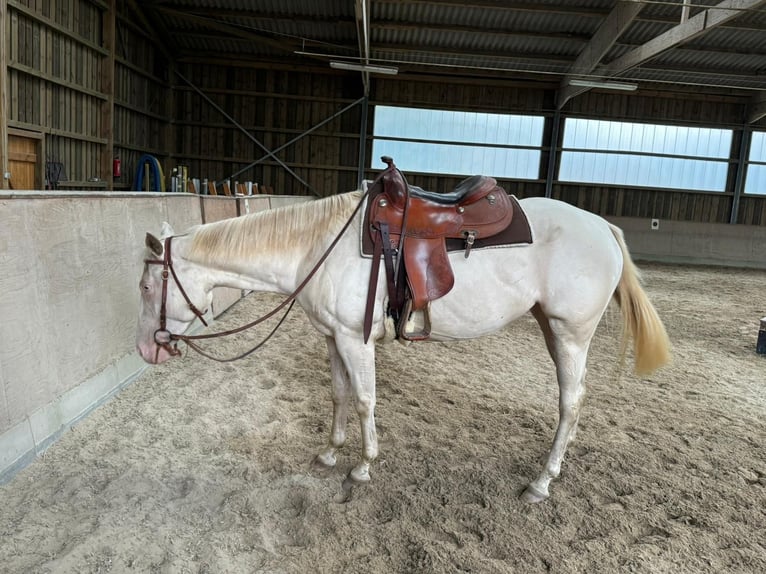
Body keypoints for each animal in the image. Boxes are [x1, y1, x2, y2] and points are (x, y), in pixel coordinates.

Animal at [138, 190, 672, 504]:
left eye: (146, 287)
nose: (147, 350)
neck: (315, 246)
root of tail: (603, 226)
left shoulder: (354, 339)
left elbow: (365, 399)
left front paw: (362, 467)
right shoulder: (332, 336)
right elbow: (338, 394)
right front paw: (330, 454)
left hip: (570, 332)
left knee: (570, 401)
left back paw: (542, 480)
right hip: (551, 326)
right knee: (575, 401)